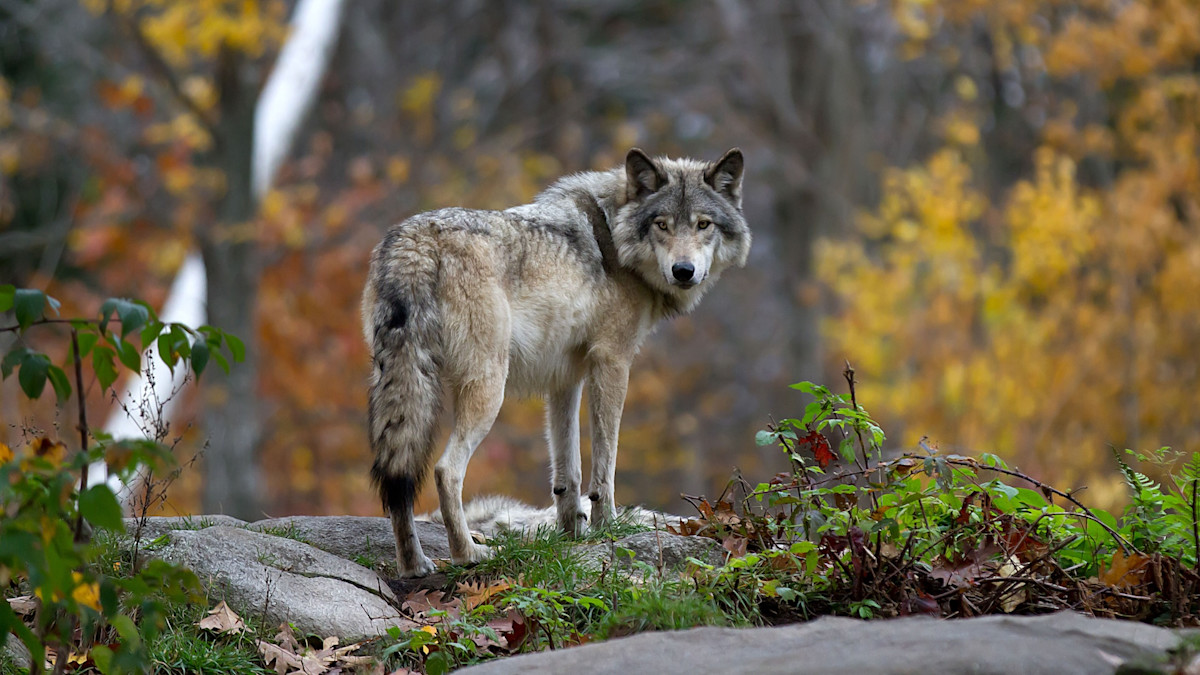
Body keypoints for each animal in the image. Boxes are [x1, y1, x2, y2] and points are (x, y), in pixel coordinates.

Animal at [362, 147, 748, 571]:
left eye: (702, 224)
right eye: (662, 224)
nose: (683, 271)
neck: (614, 237)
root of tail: (415, 241)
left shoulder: (565, 378)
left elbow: (568, 471)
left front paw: (571, 534)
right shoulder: (612, 363)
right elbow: (605, 464)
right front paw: (606, 527)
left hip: (402, 383)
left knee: (398, 477)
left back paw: (414, 565)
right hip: (488, 389)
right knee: (446, 470)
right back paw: (468, 554)